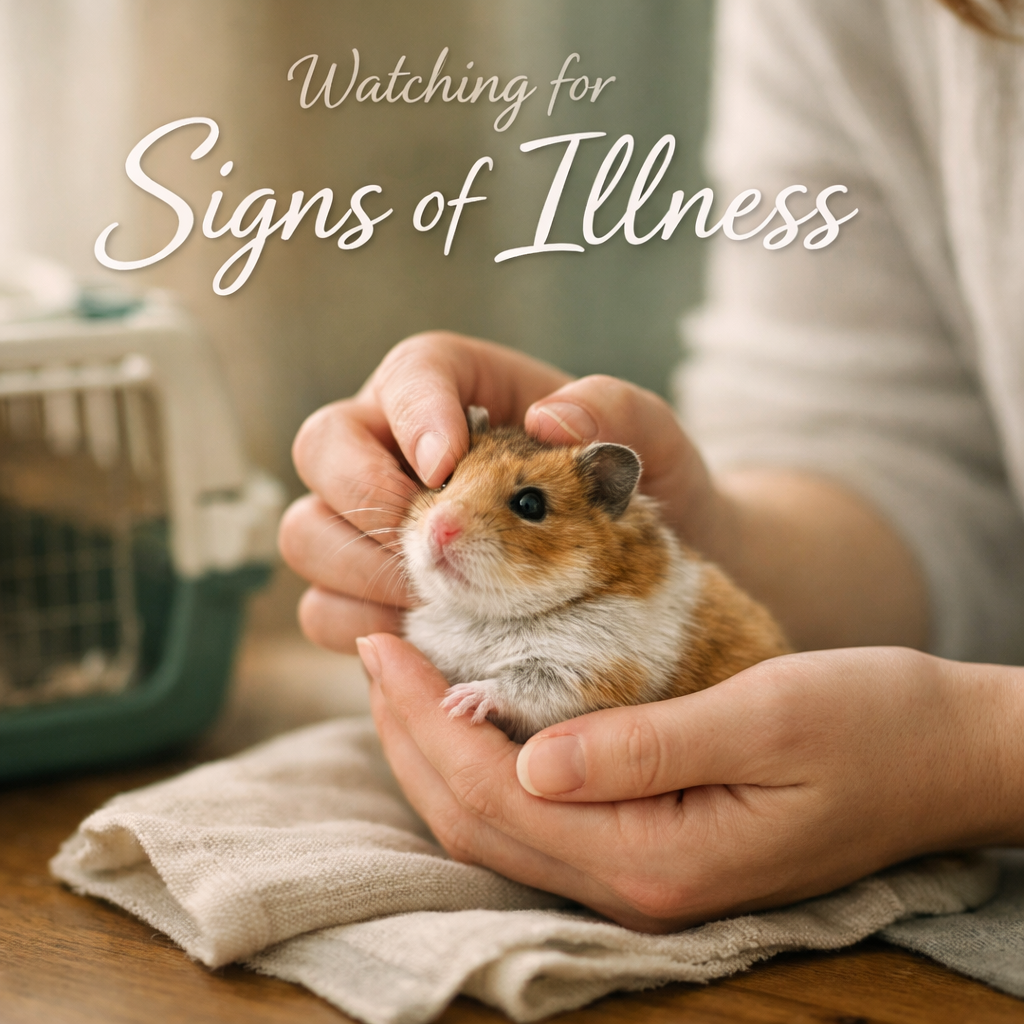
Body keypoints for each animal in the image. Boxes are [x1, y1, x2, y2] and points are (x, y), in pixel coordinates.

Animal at [401, 406, 791, 743]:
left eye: (530, 504)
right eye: (444, 481)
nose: (439, 528)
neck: (486, 615)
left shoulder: (594, 672)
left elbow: (522, 689)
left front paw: (459, 699)